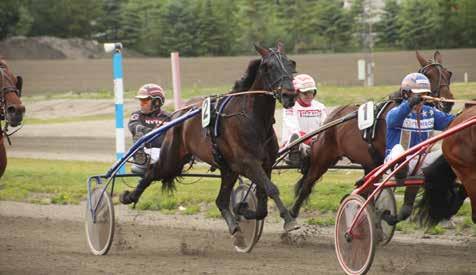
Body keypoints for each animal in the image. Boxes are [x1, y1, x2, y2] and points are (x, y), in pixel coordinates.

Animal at [122, 42, 302, 237]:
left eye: (291, 63)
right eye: (268, 66)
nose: (289, 95)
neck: (253, 119)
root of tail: (177, 115)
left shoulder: (265, 164)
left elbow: (262, 204)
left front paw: (243, 209)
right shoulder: (248, 163)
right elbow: (271, 189)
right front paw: (290, 220)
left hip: (228, 169)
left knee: (220, 200)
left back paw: (233, 224)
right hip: (172, 160)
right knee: (152, 172)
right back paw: (129, 196)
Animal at [290, 50, 454, 222]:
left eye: (448, 74)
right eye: (428, 75)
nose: (447, 102)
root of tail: (332, 117)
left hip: (366, 162)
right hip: (323, 158)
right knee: (307, 184)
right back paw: (292, 215)